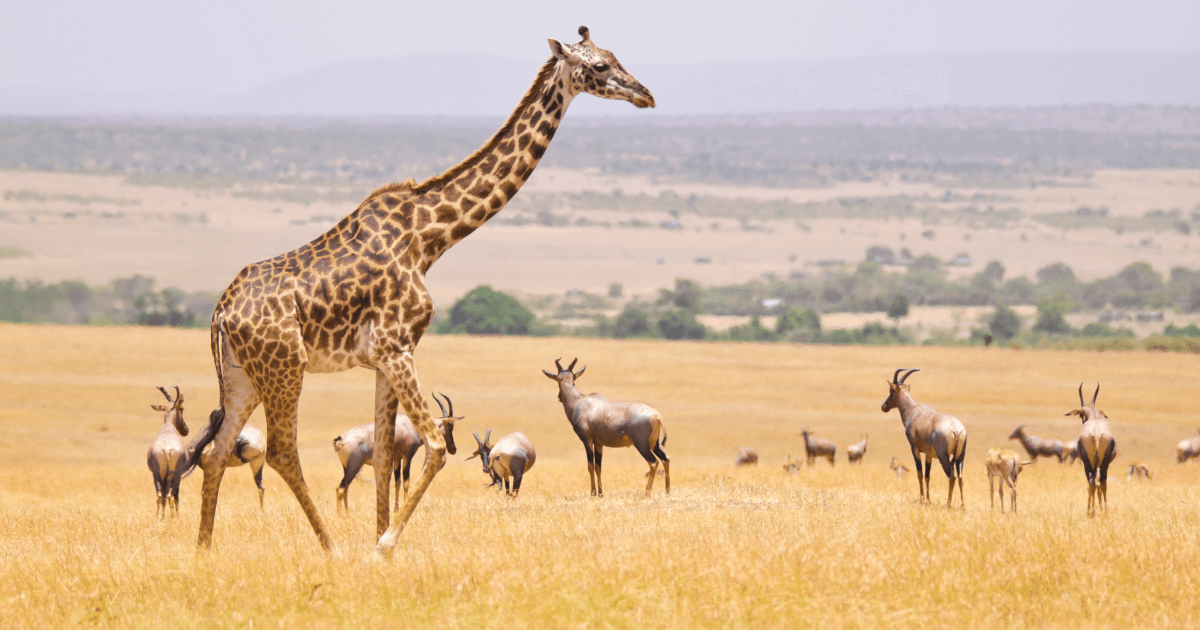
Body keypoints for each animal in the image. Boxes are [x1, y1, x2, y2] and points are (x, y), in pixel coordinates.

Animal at [543, 358, 669, 497]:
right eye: (562, 378)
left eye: (558, 379)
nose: (559, 397)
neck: (580, 402)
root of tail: (657, 416)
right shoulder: (599, 443)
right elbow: (598, 466)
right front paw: (600, 494)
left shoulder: (587, 440)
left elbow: (590, 465)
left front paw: (593, 493)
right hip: (654, 443)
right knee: (666, 459)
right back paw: (667, 491)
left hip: (641, 444)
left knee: (653, 462)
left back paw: (646, 493)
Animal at [881, 368, 968, 508]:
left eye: (891, 391)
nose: (883, 406)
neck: (914, 411)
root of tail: (956, 429)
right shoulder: (929, 454)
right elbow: (927, 476)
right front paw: (928, 500)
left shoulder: (915, 449)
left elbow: (920, 473)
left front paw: (922, 500)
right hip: (960, 456)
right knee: (960, 477)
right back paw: (963, 505)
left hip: (943, 457)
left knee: (952, 476)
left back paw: (948, 504)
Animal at [1067, 383, 1116, 517]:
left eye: (1081, 415)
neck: (1095, 418)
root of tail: (1096, 434)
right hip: (1100, 464)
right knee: (1100, 482)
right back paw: (1101, 511)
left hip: (1088, 464)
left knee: (1093, 483)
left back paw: (1091, 512)